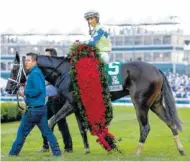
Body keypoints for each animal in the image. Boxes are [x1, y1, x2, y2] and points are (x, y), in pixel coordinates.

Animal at [5, 52, 185, 156]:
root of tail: (157, 69)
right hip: (155, 103)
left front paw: (51, 146)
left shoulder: (70, 104)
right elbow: (81, 129)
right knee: (170, 123)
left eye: (14, 69)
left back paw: (137, 152)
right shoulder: (78, 107)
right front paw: (86, 149)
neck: (64, 72)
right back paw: (181, 149)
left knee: (145, 127)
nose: (7, 88)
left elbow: (50, 122)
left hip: (140, 103)